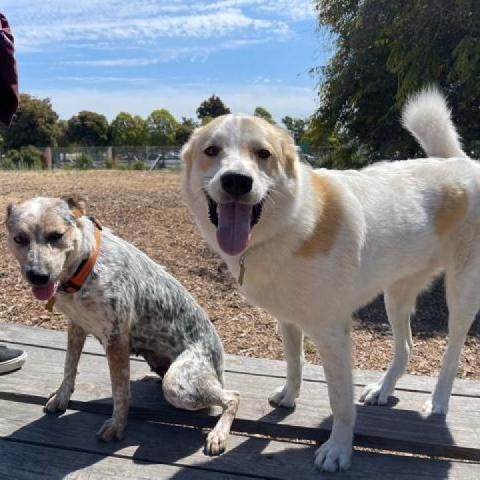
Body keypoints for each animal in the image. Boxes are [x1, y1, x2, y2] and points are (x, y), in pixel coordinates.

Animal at [6, 195, 239, 454]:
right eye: (19, 238)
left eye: (56, 235)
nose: (37, 276)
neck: (84, 268)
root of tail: (219, 365)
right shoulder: (76, 326)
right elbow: (69, 367)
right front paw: (61, 397)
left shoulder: (116, 339)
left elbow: (120, 390)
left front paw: (117, 425)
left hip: (178, 384)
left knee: (233, 396)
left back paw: (218, 434)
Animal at [180, 90, 476, 472]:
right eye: (212, 150)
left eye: (263, 154)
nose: (236, 181)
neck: (288, 225)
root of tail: (461, 163)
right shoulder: (288, 319)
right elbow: (294, 362)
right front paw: (289, 396)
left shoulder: (333, 334)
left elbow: (340, 401)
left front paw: (338, 450)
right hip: (396, 294)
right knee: (407, 346)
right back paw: (383, 389)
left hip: (461, 293)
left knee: (452, 352)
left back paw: (437, 402)